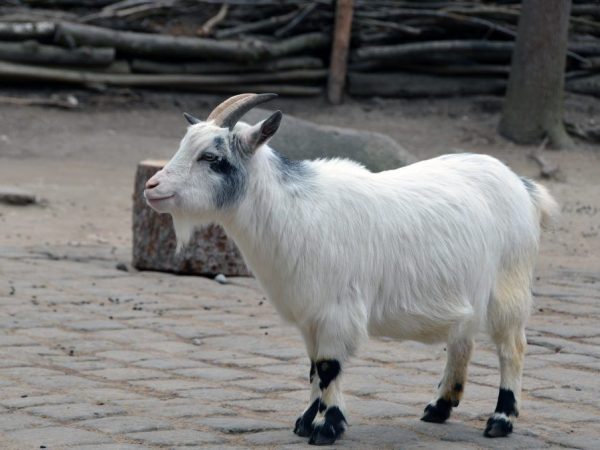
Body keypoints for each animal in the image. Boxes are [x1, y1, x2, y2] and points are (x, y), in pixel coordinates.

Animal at [144, 94, 556, 446]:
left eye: (212, 157)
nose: (152, 186)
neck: (292, 210)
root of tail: (522, 185)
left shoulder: (336, 309)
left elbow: (329, 366)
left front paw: (327, 428)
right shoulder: (310, 313)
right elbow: (314, 367)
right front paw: (306, 421)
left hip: (509, 284)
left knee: (512, 346)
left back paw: (501, 420)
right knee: (463, 340)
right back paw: (439, 408)